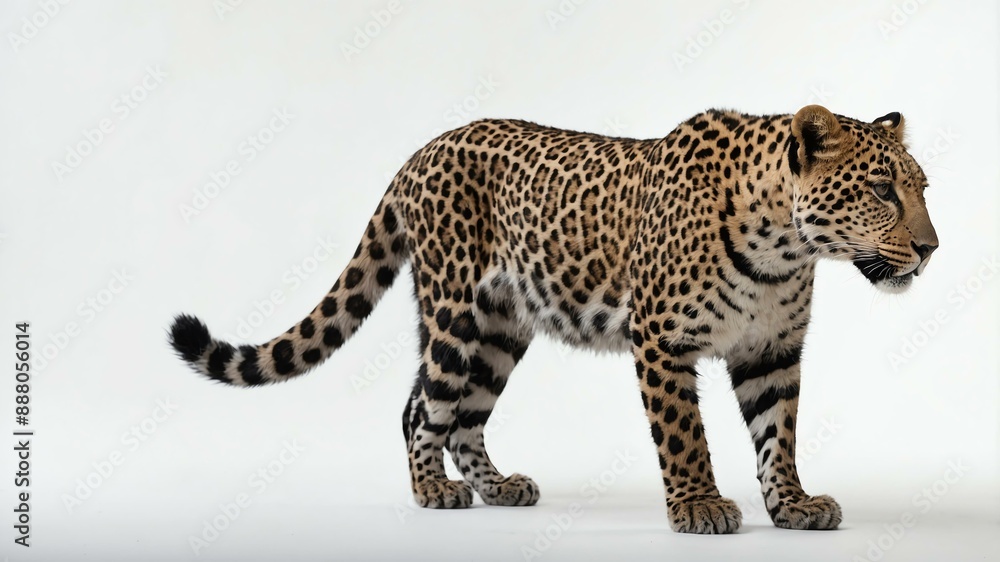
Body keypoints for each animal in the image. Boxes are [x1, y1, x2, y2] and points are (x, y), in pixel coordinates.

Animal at [169, 104, 938, 534]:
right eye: (880, 191)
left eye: (922, 188)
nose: (931, 249)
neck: (785, 245)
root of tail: (422, 151)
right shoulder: (661, 340)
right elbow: (685, 435)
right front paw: (699, 507)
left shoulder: (771, 351)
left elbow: (779, 436)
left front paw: (793, 506)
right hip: (454, 311)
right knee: (422, 407)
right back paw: (433, 492)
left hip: (502, 329)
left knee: (462, 415)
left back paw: (497, 488)